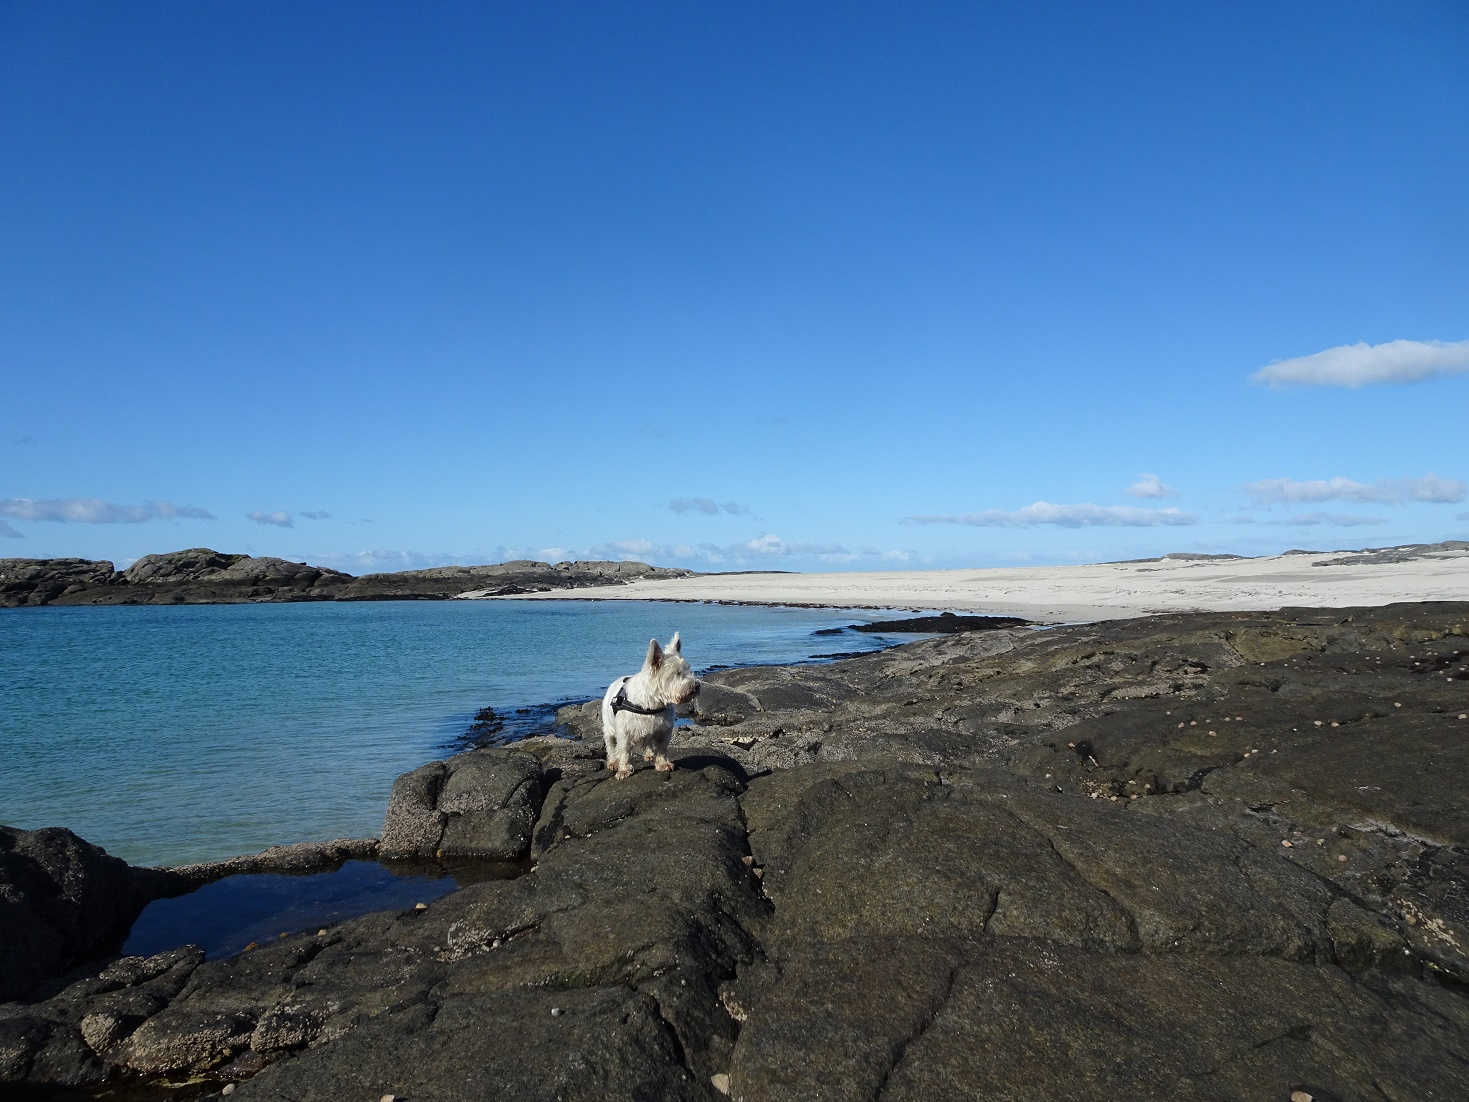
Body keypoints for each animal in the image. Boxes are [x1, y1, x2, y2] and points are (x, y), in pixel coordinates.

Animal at [605, 634, 702, 781]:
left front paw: (663, 764)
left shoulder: (663, 730)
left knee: (649, 742)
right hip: (609, 728)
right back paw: (613, 762)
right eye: (677, 673)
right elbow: (624, 751)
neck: (652, 703)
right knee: (611, 745)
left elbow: (661, 748)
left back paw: (649, 754)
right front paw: (624, 770)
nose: (697, 685)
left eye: (688, 669)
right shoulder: (625, 732)